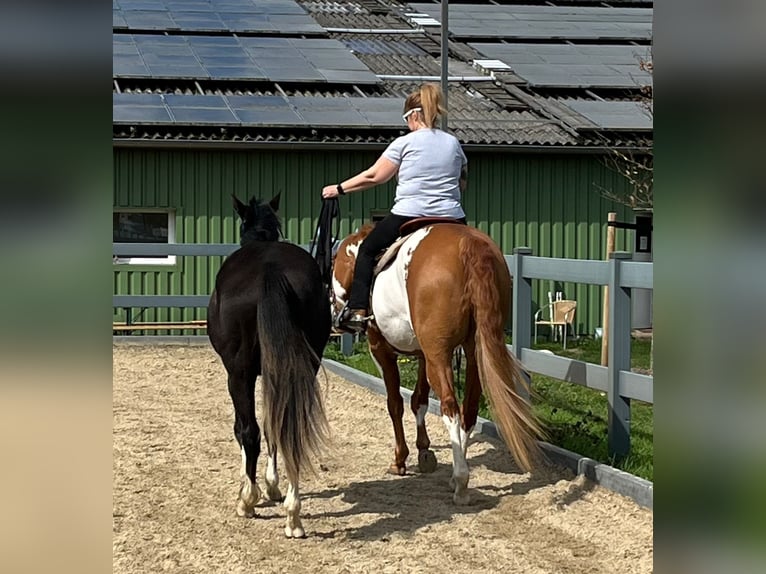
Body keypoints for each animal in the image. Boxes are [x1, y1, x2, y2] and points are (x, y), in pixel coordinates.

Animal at [208, 194, 332, 540]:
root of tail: (270, 272)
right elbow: (272, 424)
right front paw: (273, 486)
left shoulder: (242, 374)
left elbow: (244, 429)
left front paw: (251, 489)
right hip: (303, 367)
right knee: (289, 427)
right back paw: (293, 516)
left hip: (238, 373)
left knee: (248, 431)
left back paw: (247, 502)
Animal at [332, 220, 544, 504]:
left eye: (337, 262)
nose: (336, 313)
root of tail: (469, 246)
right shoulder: (424, 355)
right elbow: (418, 401)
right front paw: (424, 452)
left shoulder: (381, 351)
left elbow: (395, 404)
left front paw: (400, 459)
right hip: (472, 351)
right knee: (469, 410)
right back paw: (458, 472)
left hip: (439, 355)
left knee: (450, 407)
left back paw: (461, 482)